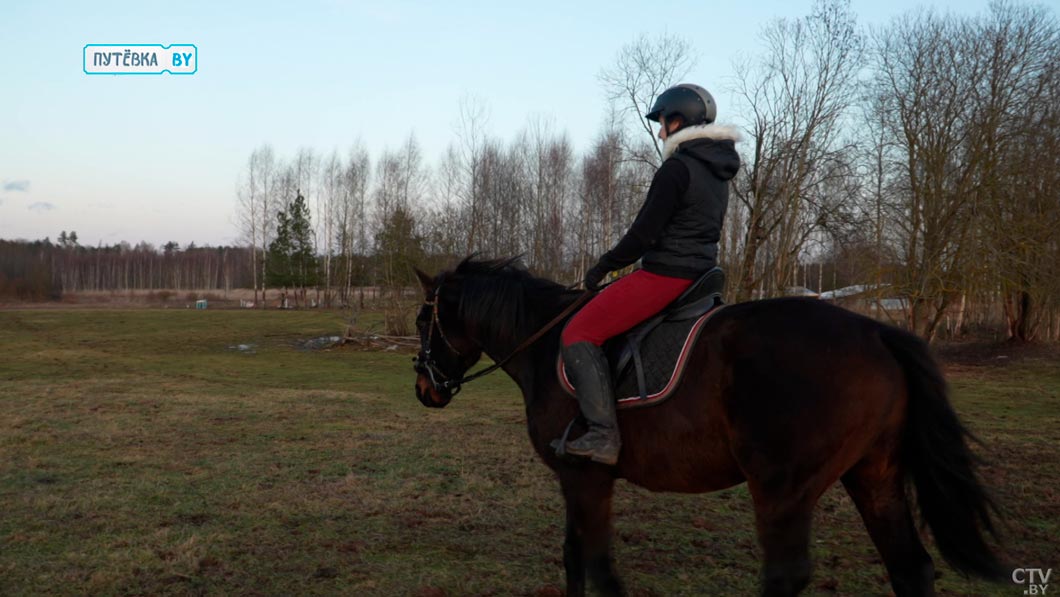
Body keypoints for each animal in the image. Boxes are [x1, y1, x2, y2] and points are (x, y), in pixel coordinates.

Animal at [404, 257, 1000, 597]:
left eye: (421, 319)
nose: (424, 390)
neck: (547, 344)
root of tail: (877, 332)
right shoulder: (578, 480)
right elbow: (575, 558)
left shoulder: (585, 477)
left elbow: (595, 564)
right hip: (874, 476)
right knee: (911, 570)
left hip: (783, 488)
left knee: (785, 575)